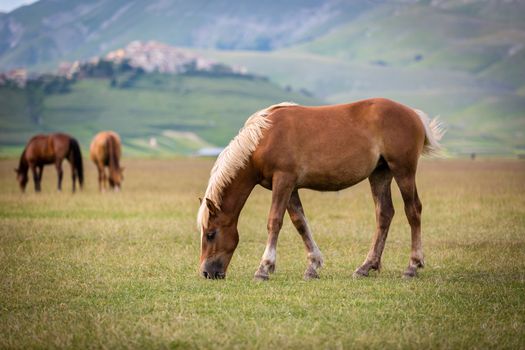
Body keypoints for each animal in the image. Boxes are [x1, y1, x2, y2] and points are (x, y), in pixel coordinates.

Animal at [196, 98, 442, 282]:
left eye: (210, 234)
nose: (207, 273)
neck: (263, 137)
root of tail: (414, 114)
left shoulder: (283, 181)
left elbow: (274, 221)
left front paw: (264, 268)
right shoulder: (290, 187)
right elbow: (300, 224)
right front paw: (312, 266)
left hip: (403, 170)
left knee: (413, 210)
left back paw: (412, 266)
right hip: (380, 174)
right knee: (384, 214)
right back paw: (366, 266)